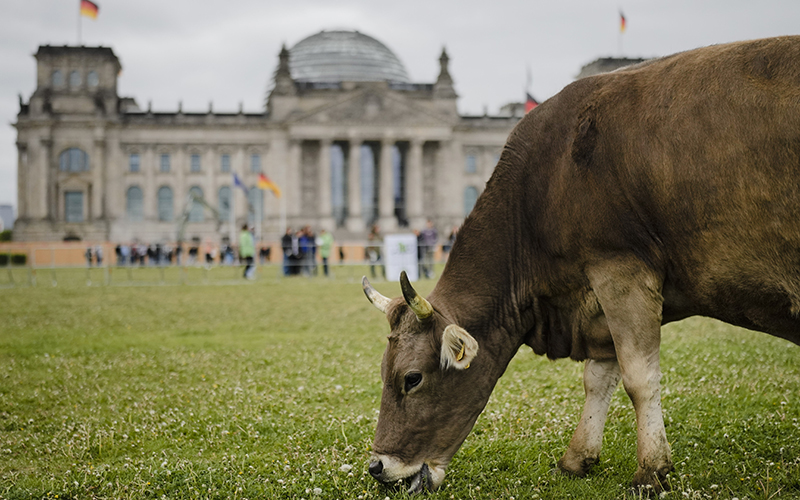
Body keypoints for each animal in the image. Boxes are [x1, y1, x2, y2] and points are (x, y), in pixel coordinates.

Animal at [364, 37, 800, 494]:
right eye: (382, 372)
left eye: (412, 378)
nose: (377, 467)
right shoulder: (595, 300)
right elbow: (598, 377)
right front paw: (577, 458)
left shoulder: (620, 271)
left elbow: (639, 378)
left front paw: (651, 471)